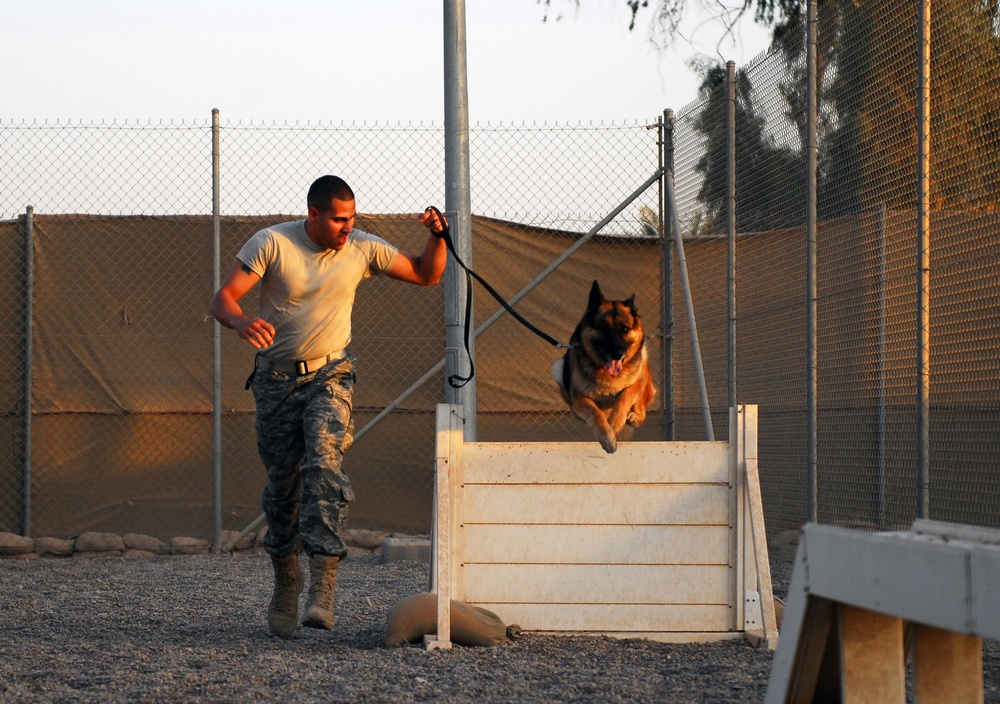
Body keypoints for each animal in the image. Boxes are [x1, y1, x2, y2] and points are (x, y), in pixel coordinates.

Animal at [556, 280, 656, 452]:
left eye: (625, 329)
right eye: (604, 328)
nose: (617, 354)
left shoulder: (635, 385)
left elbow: (623, 400)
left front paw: (614, 426)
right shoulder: (579, 397)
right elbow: (596, 413)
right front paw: (607, 437)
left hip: (643, 360)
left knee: (642, 401)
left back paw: (635, 417)